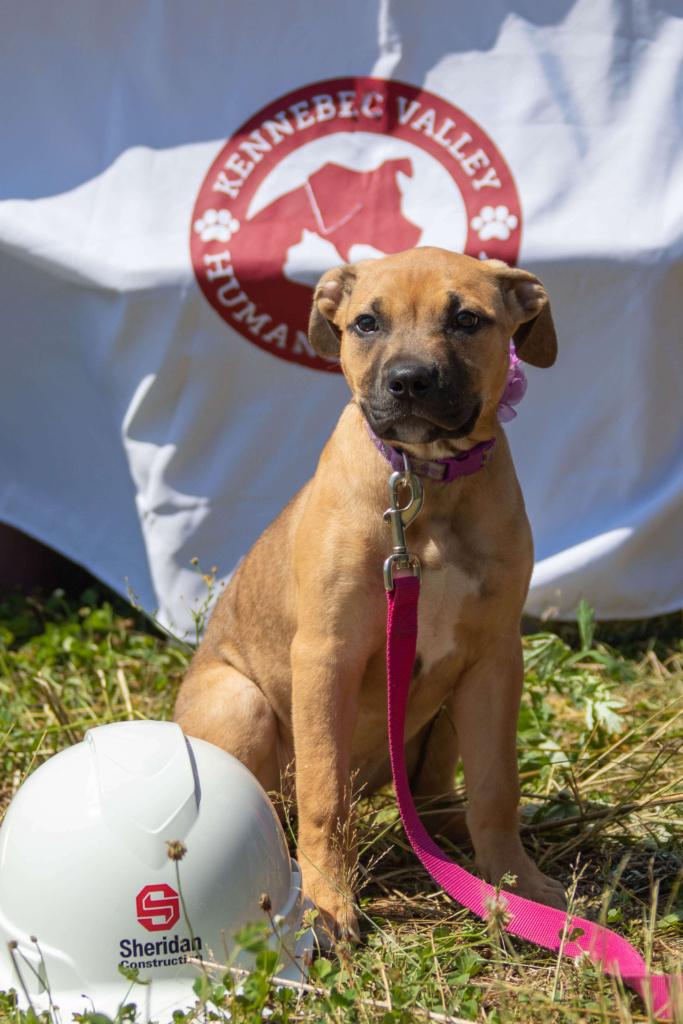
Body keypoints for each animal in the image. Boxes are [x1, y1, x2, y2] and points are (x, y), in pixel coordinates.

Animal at [176, 245, 565, 942]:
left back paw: (450, 836)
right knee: (281, 803)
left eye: (467, 319)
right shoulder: (326, 655)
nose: (409, 381)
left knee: (432, 796)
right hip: (238, 704)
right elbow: (324, 797)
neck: (425, 480)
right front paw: (327, 903)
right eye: (366, 323)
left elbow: (497, 786)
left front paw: (515, 884)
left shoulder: (495, 658)